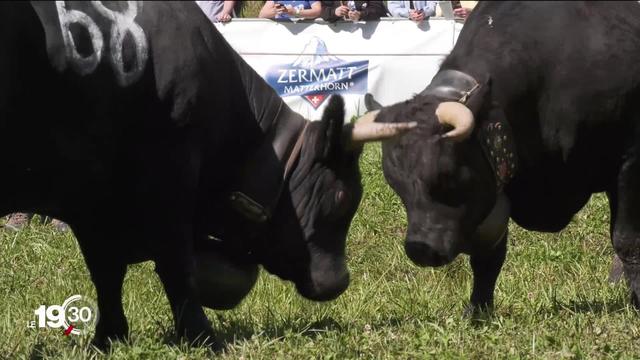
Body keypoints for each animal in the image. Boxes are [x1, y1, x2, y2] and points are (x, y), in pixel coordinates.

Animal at [1, 1, 416, 348]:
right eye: (343, 197)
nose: (340, 281)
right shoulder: (168, 175)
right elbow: (176, 266)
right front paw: (202, 337)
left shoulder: (94, 202)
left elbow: (106, 273)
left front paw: (109, 339)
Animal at [364, 0, 640, 312]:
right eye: (394, 184)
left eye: (448, 175)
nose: (420, 250)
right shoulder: (498, 176)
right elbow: (489, 256)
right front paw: (478, 310)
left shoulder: (630, 161)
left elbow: (627, 239)